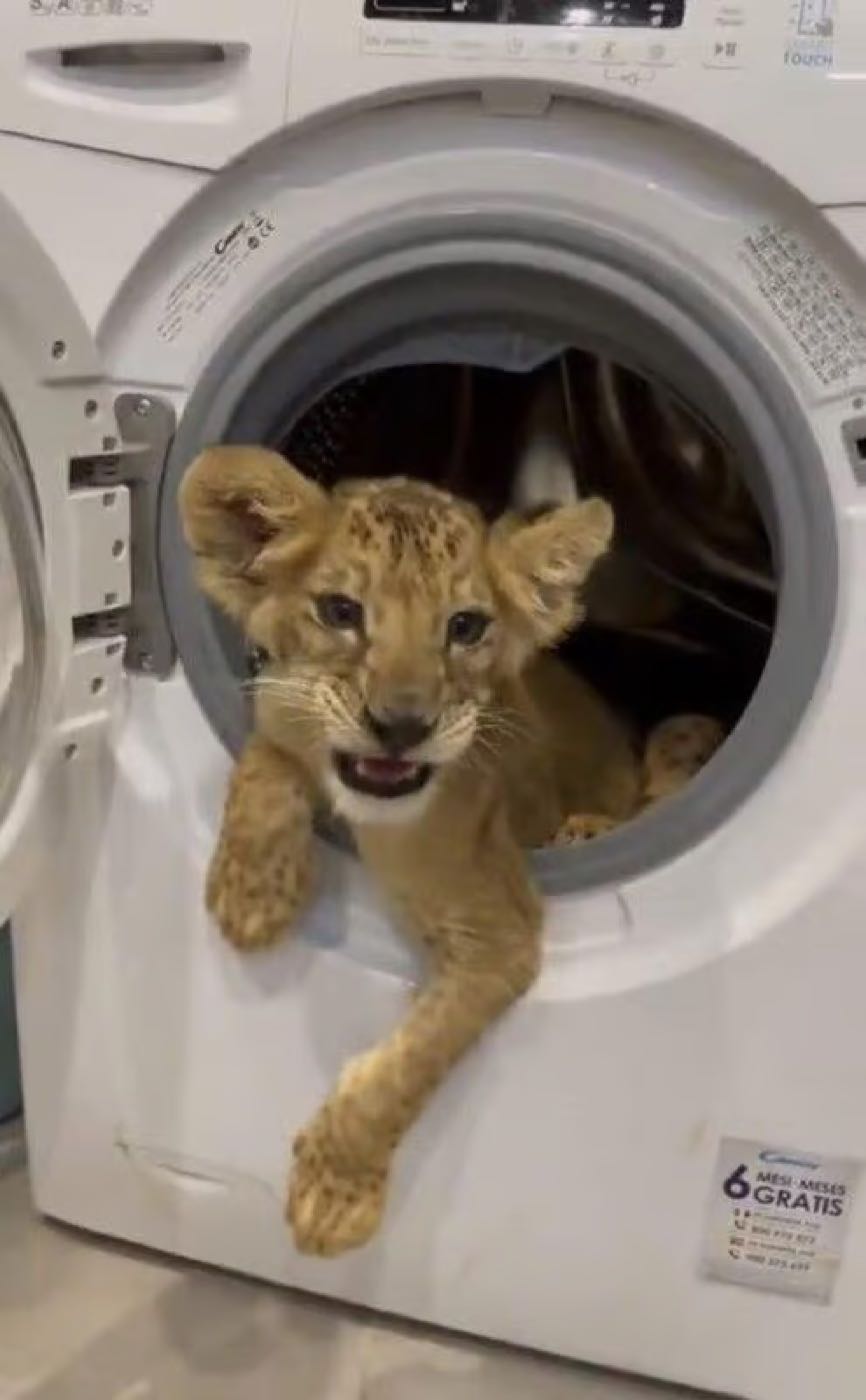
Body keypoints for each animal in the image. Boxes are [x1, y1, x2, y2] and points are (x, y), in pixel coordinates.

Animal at [180, 446, 722, 1257]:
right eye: (341, 612)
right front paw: (252, 896)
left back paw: (587, 827)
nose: (401, 726)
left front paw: (334, 1197)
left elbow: (414, 1061)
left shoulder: (501, 931)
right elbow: (265, 761)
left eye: (465, 627)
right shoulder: (278, 705)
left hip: (675, 732)